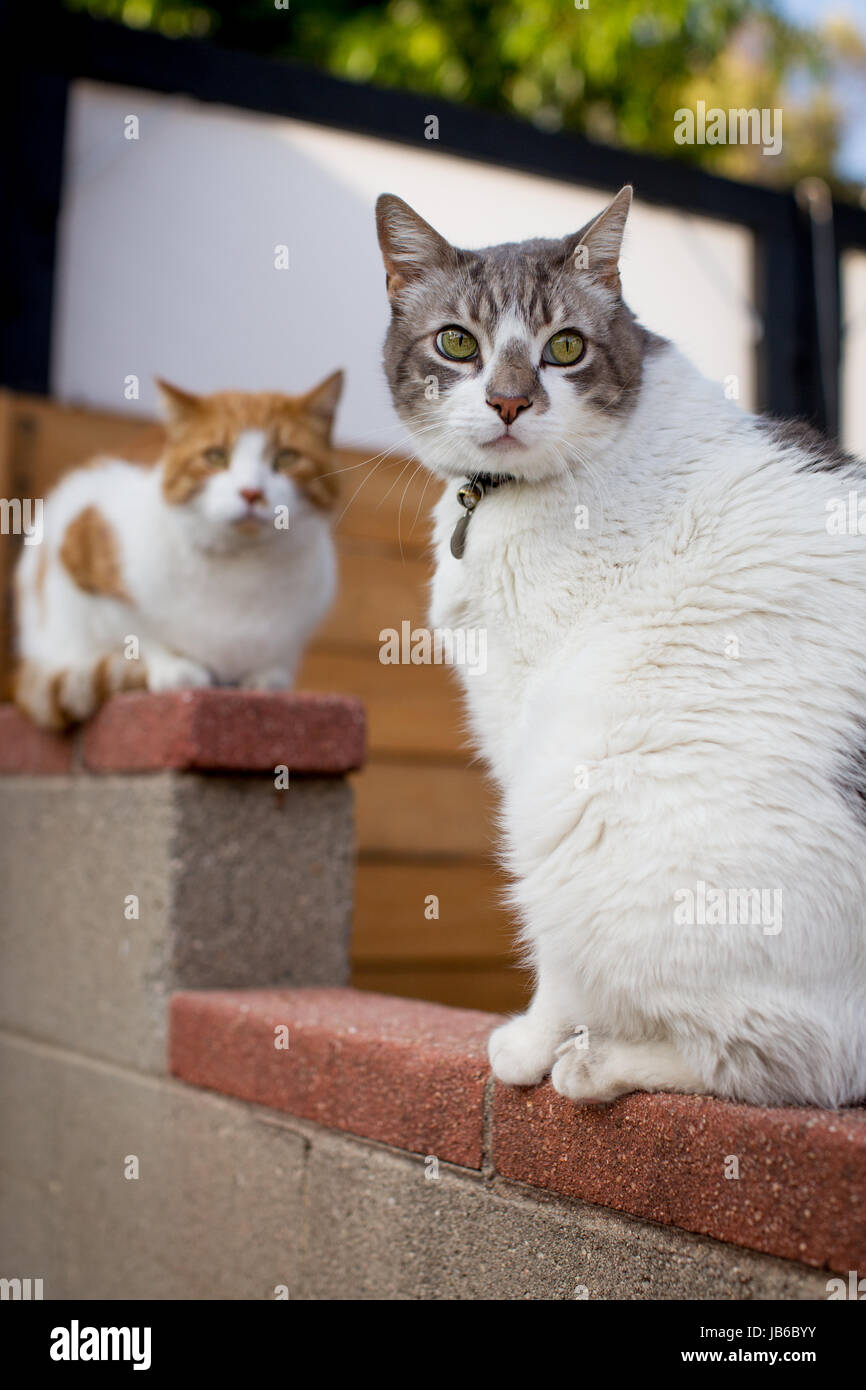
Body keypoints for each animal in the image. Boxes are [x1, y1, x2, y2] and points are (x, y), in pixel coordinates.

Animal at [15, 375, 343, 733]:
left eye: (285, 458)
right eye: (216, 457)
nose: (251, 493)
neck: (242, 568)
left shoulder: (303, 623)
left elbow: (278, 659)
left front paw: (267, 676)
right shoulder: (80, 554)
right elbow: (139, 632)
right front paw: (175, 667)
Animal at [378, 182, 866, 1106]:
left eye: (564, 348)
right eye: (457, 343)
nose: (509, 402)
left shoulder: (532, 739)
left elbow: (555, 967)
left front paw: (530, 1046)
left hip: (594, 797)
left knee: (790, 1056)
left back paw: (593, 1064)